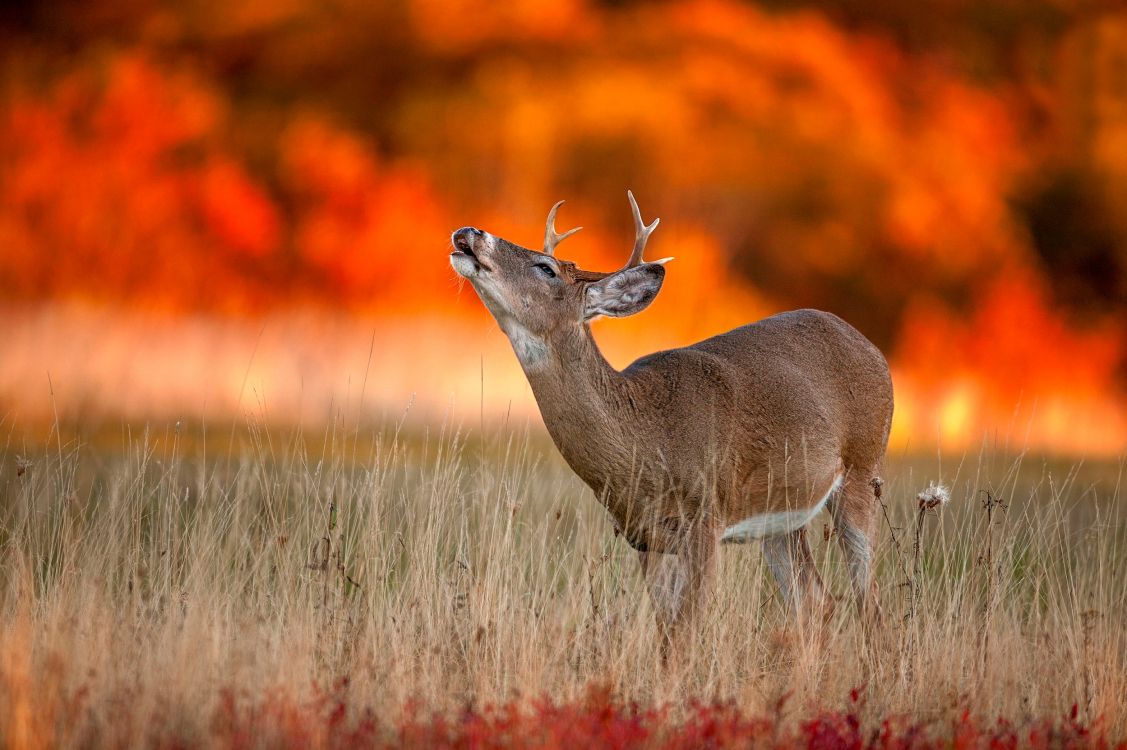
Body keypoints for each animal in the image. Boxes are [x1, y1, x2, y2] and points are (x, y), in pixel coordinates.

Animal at [449, 192, 893, 655]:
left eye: (546, 268)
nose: (470, 232)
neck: (645, 439)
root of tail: (873, 349)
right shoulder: (644, 538)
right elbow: (667, 637)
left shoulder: (706, 520)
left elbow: (685, 634)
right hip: (782, 515)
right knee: (816, 602)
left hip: (863, 468)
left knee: (870, 602)